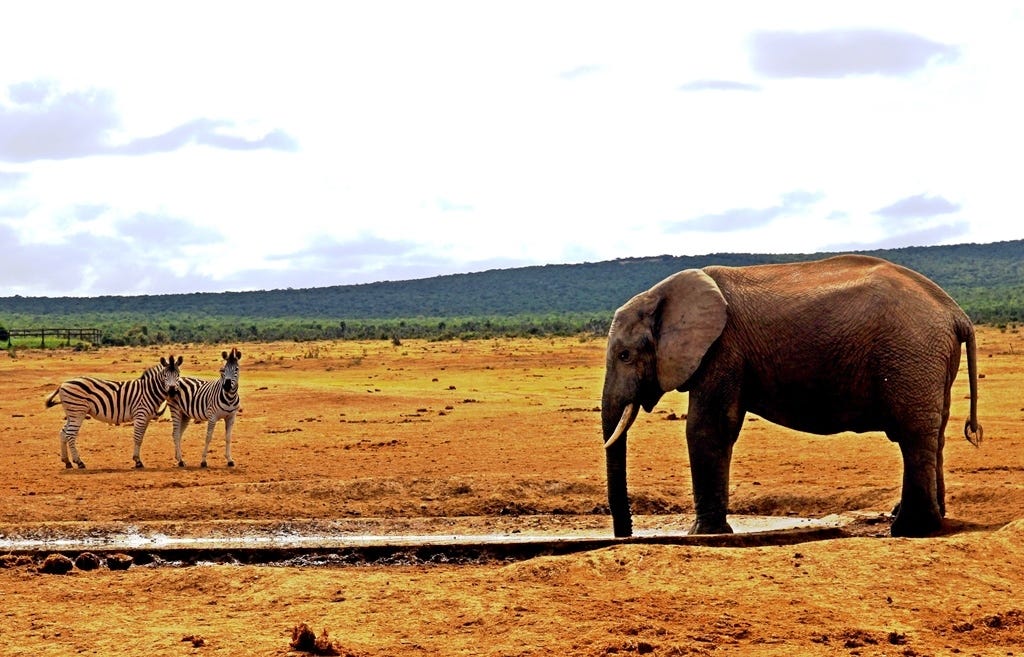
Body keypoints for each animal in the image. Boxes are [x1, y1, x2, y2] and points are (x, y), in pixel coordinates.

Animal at [45, 356, 183, 468]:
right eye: (165, 375)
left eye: (178, 374)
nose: (172, 391)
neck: (149, 391)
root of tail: (63, 384)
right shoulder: (140, 414)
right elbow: (137, 438)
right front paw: (137, 461)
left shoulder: (147, 417)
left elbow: (141, 438)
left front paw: (137, 459)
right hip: (78, 412)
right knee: (70, 435)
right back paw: (79, 462)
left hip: (71, 413)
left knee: (63, 433)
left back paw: (67, 461)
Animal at [598, 253, 983, 536]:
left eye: (625, 355)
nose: (625, 534)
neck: (663, 294)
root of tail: (956, 314)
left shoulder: (722, 349)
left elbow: (707, 428)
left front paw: (702, 536)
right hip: (927, 358)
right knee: (935, 433)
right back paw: (921, 519)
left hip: (911, 351)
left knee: (913, 433)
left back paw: (910, 529)